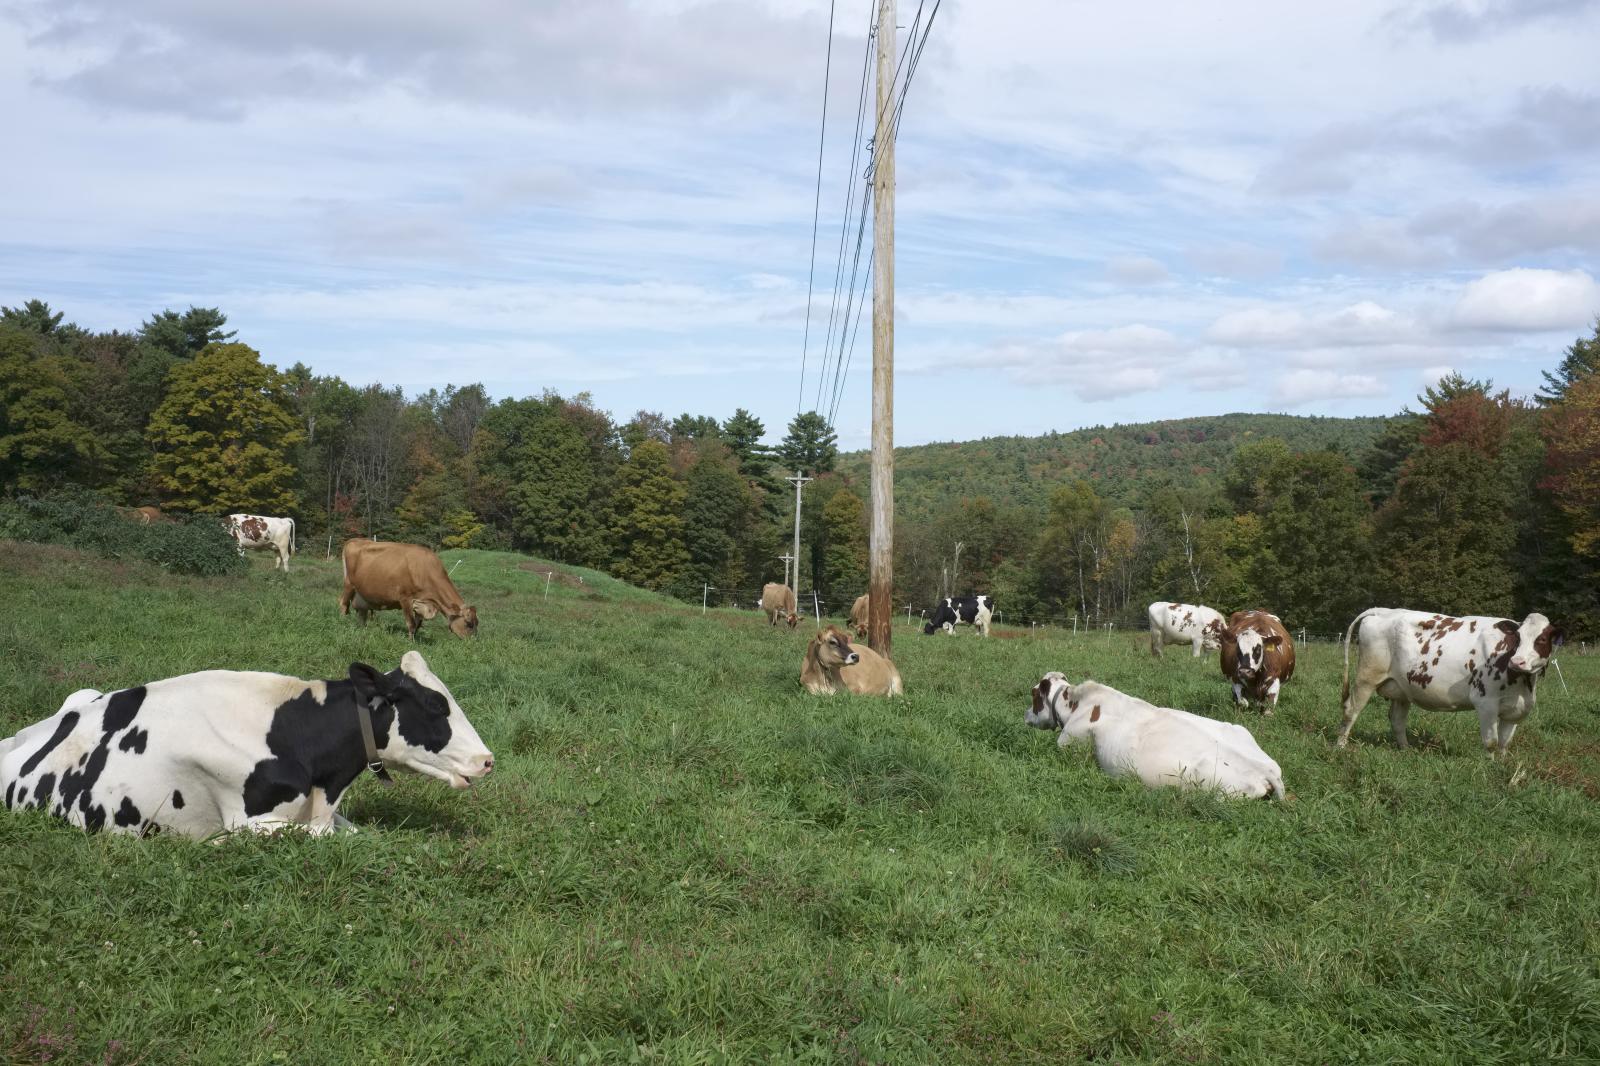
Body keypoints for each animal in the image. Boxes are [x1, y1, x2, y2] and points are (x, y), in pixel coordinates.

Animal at [340, 534, 476, 633]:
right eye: (469, 623)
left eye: (476, 623)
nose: (472, 642)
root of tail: (355, 540)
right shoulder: (405, 599)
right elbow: (411, 624)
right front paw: (411, 643)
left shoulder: (421, 603)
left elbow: (417, 625)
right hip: (349, 585)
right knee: (343, 604)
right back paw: (343, 623)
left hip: (362, 595)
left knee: (361, 613)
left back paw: (362, 628)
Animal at [1337, 605, 1561, 755]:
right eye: (1517, 637)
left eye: (1542, 639)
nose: (1517, 661)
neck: (1522, 684)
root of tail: (1381, 610)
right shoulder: (1486, 703)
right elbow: (1491, 743)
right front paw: (1489, 769)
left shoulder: (1517, 709)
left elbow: (1504, 744)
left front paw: (1501, 767)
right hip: (1367, 676)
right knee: (1351, 710)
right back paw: (1340, 747)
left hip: (1402, 687)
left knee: (1397, 720)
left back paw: (1406, 750)